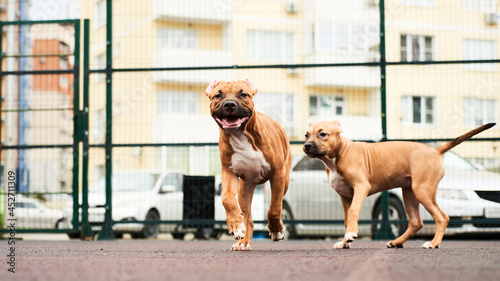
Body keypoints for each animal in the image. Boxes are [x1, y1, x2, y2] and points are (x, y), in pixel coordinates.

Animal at [204, 78, 292, 249]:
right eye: (218, 95)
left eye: (243, 94)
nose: (229, 104)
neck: (241, 135)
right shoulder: (229, 172)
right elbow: (226, 198)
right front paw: (236, 225)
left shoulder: (277, 175)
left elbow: (274, 207)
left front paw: (276, 230)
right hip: (244, 192)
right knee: (249, 219)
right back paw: (244, 242)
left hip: (284, 181)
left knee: (276, 205)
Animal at [302, 120, 494, 247]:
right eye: (306, 135)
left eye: (323, 134)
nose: (307, 146)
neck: (337, 156)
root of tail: (436, 151)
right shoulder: (345, 197)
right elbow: (346, 218)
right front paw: (344, 243)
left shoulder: (361, 188)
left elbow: (354, 213)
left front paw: (350, 235)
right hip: (410, 192)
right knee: (416, 222)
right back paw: (396, 242)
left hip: (422, 191)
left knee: (442, 217)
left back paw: (433, 243)